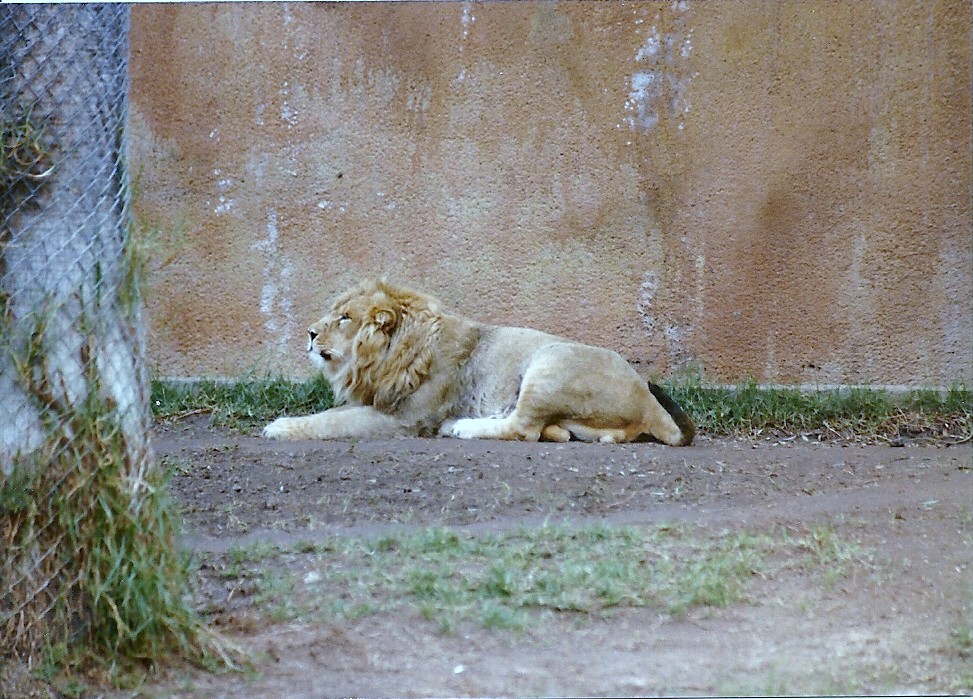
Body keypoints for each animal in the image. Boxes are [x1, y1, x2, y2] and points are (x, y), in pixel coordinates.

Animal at [262, 279, 695, 446]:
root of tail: (648, 400)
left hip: (549, 362)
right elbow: (328, 413)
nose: (309, 333)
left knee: (523, 430)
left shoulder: (406, 420)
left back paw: (463, 427)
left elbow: (330, 421)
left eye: (345, 318)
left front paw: (279, 428)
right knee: (545, 431)